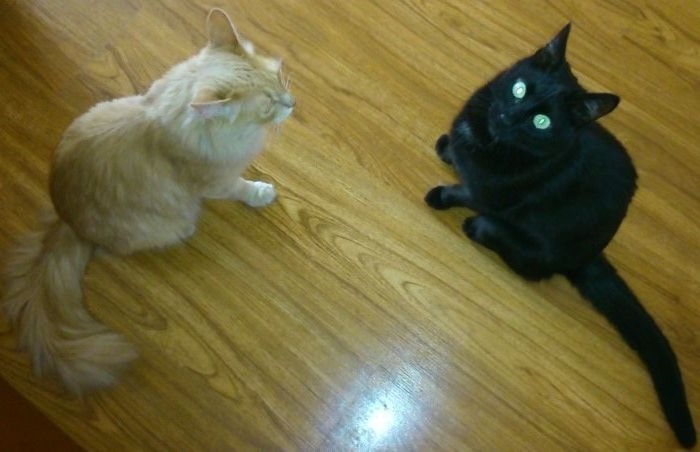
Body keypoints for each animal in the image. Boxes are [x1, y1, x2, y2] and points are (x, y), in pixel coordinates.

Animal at [2, 8, 294, 394]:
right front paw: (260, 192)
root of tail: (67, 221)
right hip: (169, 225)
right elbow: (241, 188)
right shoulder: (216, 182)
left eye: (277, 77)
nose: (291, 104)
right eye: (267, 106)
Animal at [425, 24, 695, 447]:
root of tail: (592, 253)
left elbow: (464, 192)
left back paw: (481, 228)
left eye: (541, 123)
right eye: (519, 89)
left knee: (528, 263)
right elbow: (456, 153)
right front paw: (448, 149)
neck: (489, 138)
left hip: (538, 243)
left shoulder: (491, 195)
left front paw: (442, 195)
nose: (508, 114)